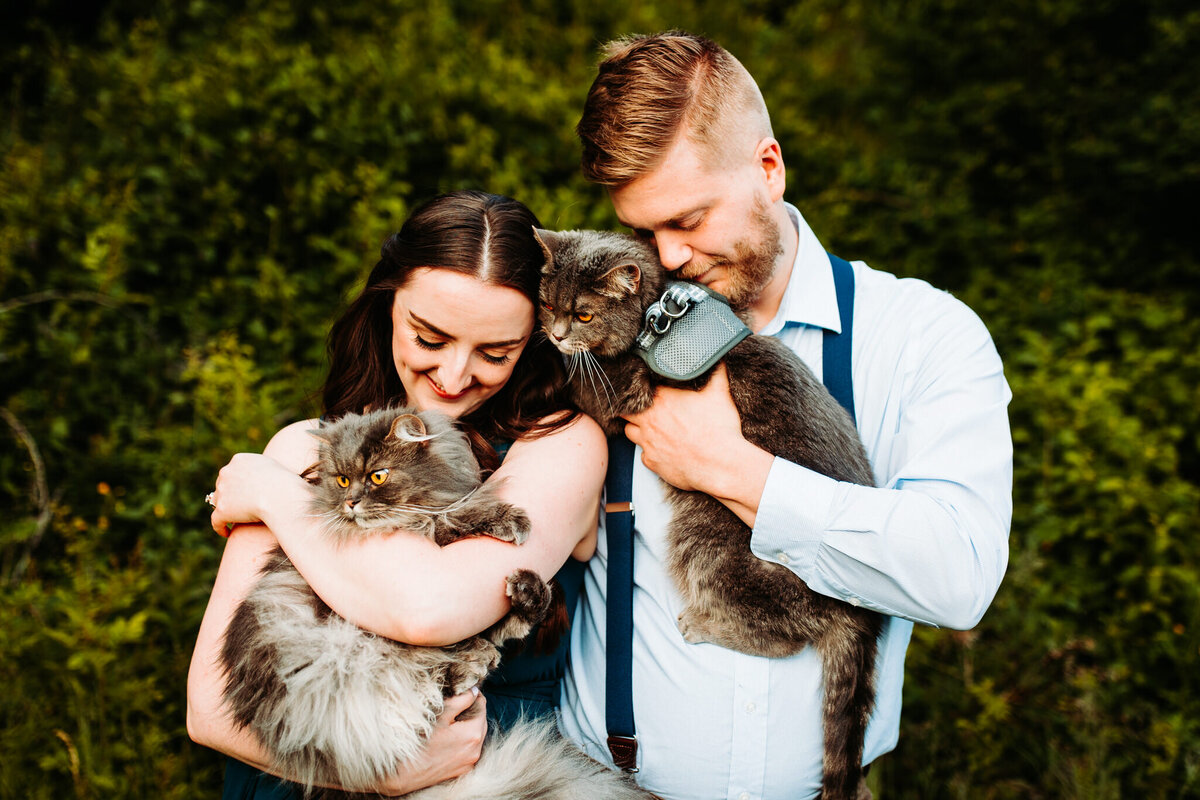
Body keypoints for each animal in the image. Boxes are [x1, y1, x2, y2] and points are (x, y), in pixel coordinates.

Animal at [540, 226, 888, 800]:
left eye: (584, 314)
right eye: (548, 303)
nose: (556, 333)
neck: (655, 314)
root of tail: (861, 615)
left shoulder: (617, 397)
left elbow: (581, 384)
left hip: (709, 543)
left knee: (781, 635)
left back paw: (702, 623)